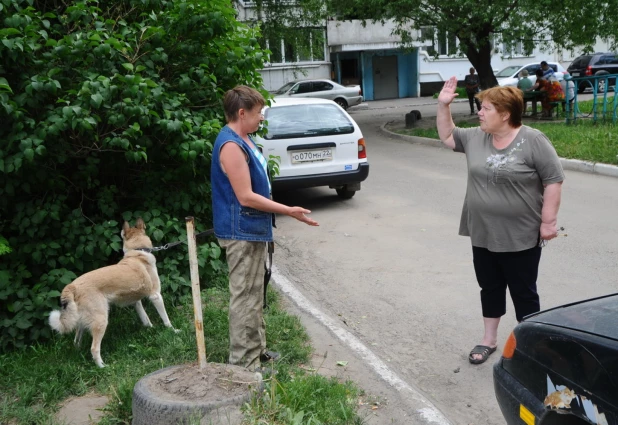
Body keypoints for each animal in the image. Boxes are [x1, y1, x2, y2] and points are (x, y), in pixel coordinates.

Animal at [48, 217, 176, 366]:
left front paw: (150, 328)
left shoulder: (136, 302)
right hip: (101, 320)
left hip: (82, 321)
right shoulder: (156, 296)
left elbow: (145, 318)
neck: (137, 253)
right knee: (94, 349)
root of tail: (72, 285)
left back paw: (78, 355)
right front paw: (174, 331)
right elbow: (166, 319)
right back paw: (103, 366)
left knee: (76, 341)